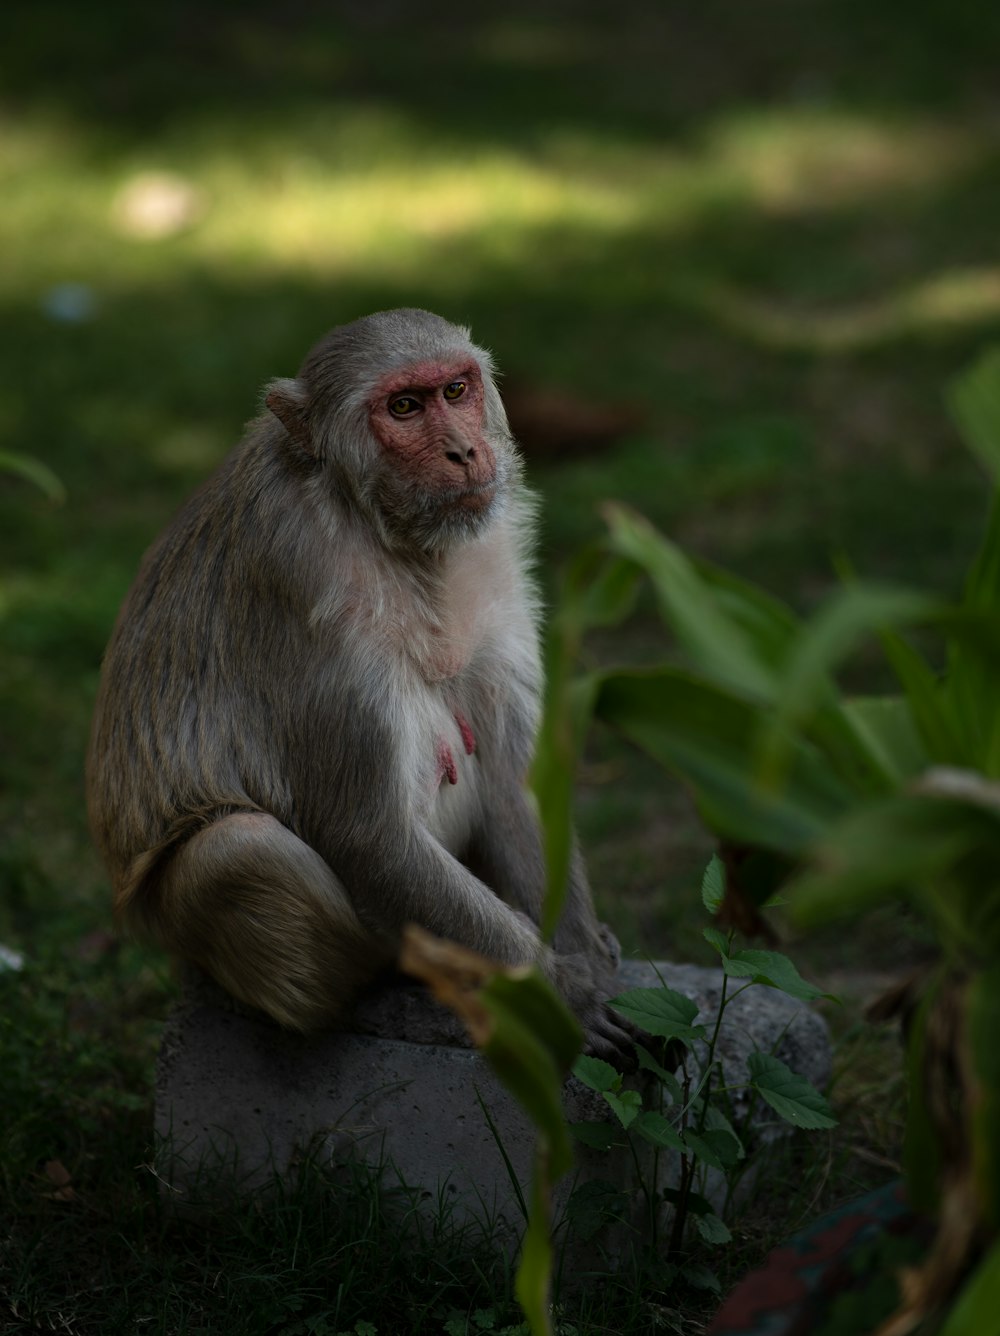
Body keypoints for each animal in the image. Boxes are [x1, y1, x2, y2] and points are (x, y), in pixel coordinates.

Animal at [86, 307, 632, 1058]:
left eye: (455, 390)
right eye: (403, 408)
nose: (464, 452)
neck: (387, 531)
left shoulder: (489, 549)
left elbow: (514, 779)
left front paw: (583, 957)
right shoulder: (305, 576)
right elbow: (367, 834)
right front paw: (561, 997)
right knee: (238, 848)